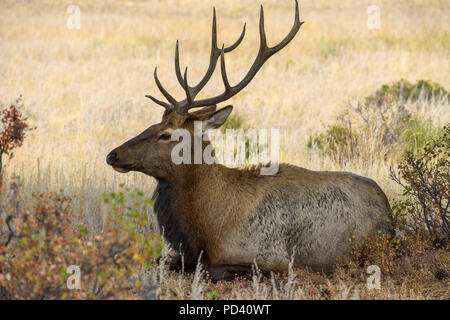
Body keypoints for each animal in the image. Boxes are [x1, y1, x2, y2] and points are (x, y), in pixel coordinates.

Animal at [105, 0, 390, 280]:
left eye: (166, 134)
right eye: (153, 124)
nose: (113, 154)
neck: (207, 229)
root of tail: (387, 204)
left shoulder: (273, 258)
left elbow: (212, 270)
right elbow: (161, 261)